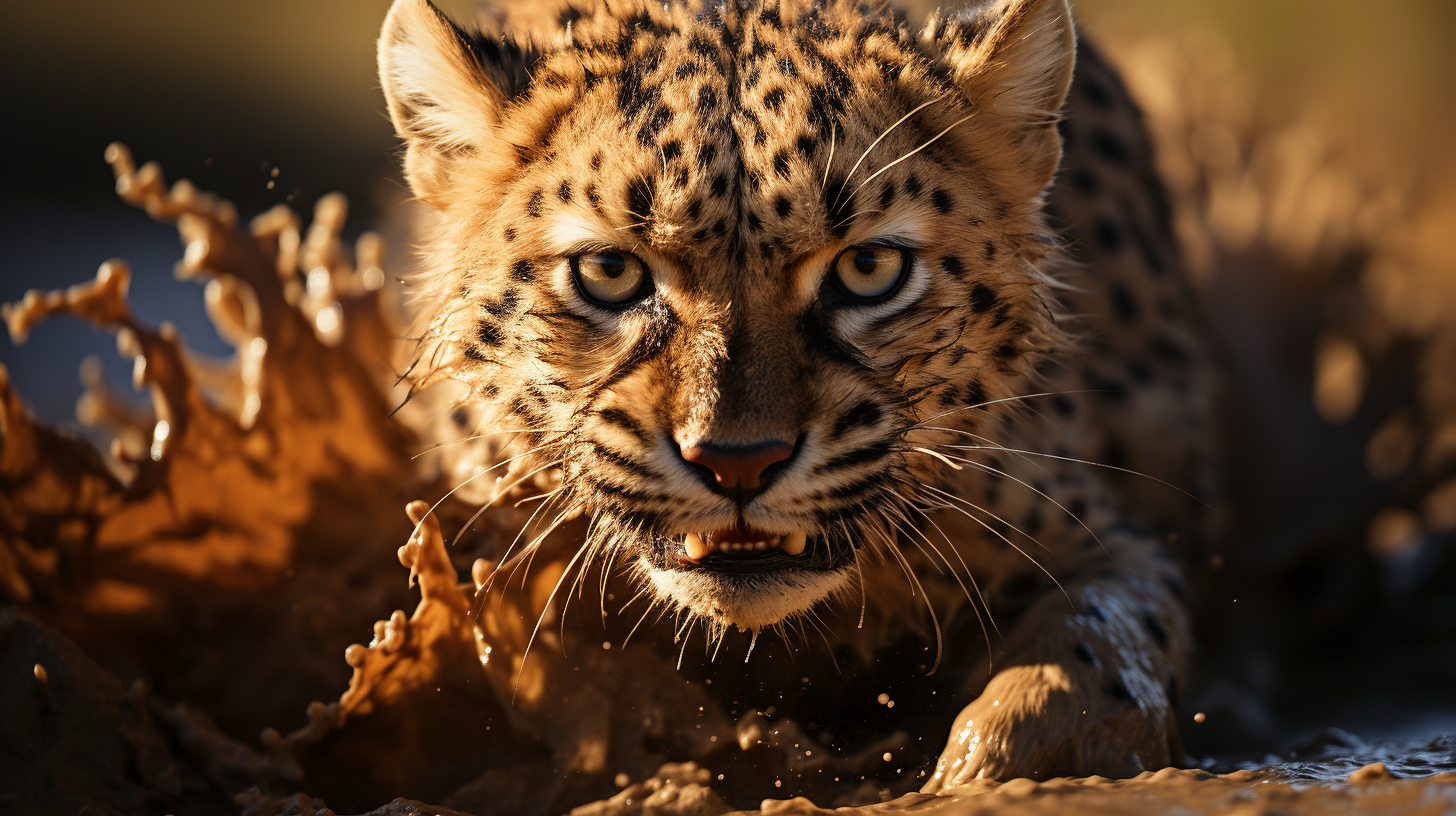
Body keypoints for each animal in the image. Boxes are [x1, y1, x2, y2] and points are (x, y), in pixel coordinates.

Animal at [375, 0, 1217, 792]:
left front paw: (997, 767)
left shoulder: (1103, 536)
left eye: (869, 269)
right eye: (610, 273)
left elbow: (1095, 647)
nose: (738, 464)